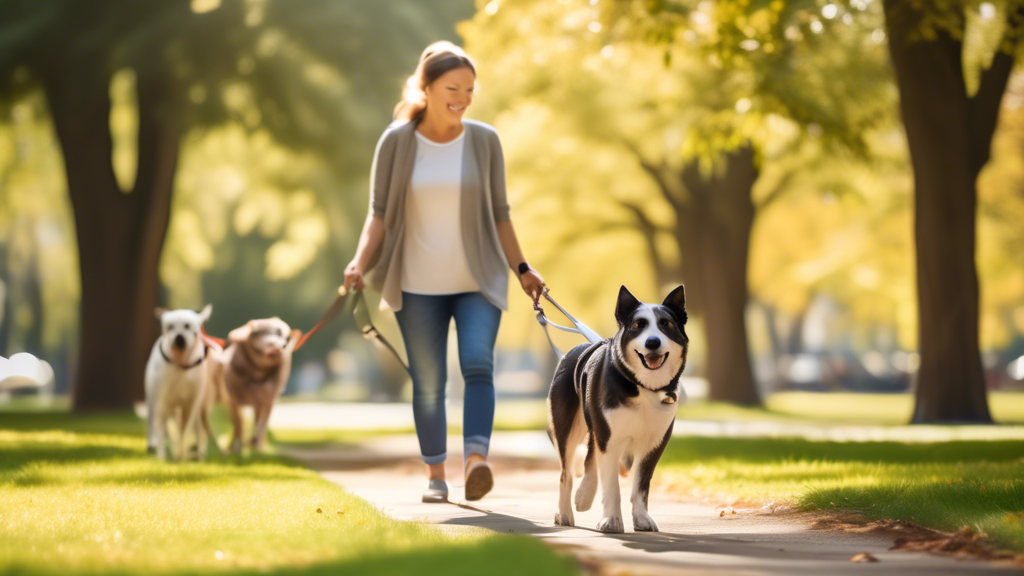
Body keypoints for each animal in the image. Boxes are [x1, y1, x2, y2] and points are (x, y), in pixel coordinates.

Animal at [144, 303, 220, 459]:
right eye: (170, 326)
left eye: (187, 326)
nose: (179, 338)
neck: (181, 365)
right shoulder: (161, 403)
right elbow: (161, 431)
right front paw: (161, 456)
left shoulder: (190, 406)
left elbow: (184, 432)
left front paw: (181, 455)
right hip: (153, 401)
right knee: (153, 425)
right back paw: (153, 446)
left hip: (198, 410)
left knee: (197, 430)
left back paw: (198, 452)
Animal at [209, 315, 299, 450]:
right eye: (277, 332)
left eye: (287, 339)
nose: (283, 346)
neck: (258, 370)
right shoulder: (231, 400)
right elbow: (239, 424)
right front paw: (236, 447)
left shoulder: (267, 401)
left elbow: (260, 424)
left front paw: (256, 446)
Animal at [544, 284, 688, 532]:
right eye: (638, 325)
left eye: (665, 324)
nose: (652, 342)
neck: (642, 387)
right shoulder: (610, 438)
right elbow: (611, 486)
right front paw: (611, 520)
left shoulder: (654, 442)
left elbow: (641, 484)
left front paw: (641, 517)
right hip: (569, 427)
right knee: (567, 473)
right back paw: (565, 512)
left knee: (590, 457)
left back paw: (583, 496)